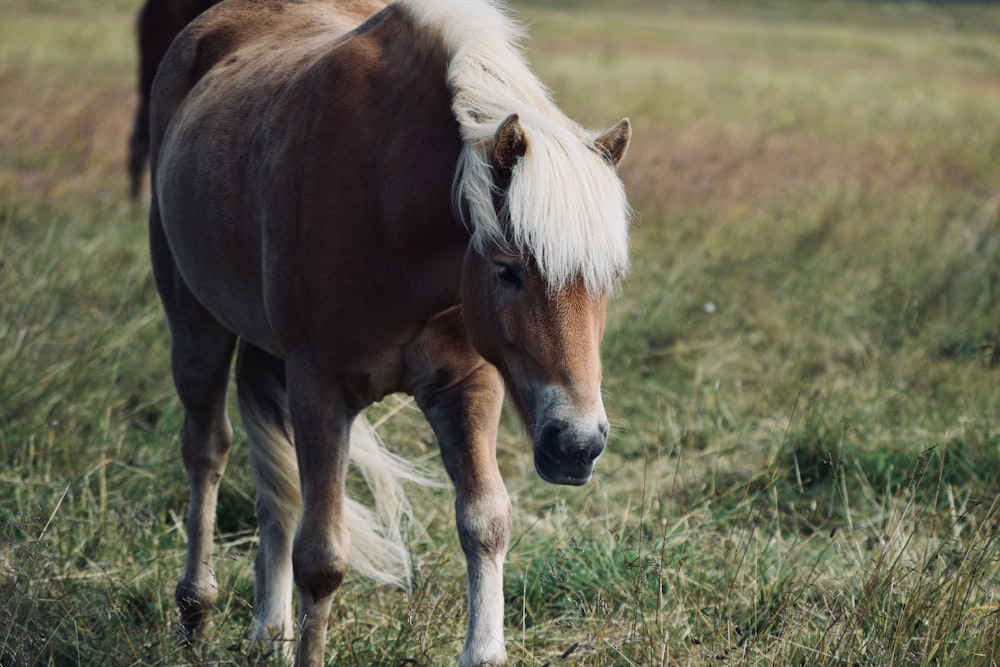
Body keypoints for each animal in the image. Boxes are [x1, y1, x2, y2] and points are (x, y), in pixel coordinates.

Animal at [146, 0, 632, 664]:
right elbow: (321, 559)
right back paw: (196, 608)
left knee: (273, 483)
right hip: (195, 323)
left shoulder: (468, 386)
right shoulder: (320, 389)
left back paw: (268, 629)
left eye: (609, 278)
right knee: (207, 451)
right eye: (507, 269)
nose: (577, 446)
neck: (389, 204)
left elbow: (486, 522)